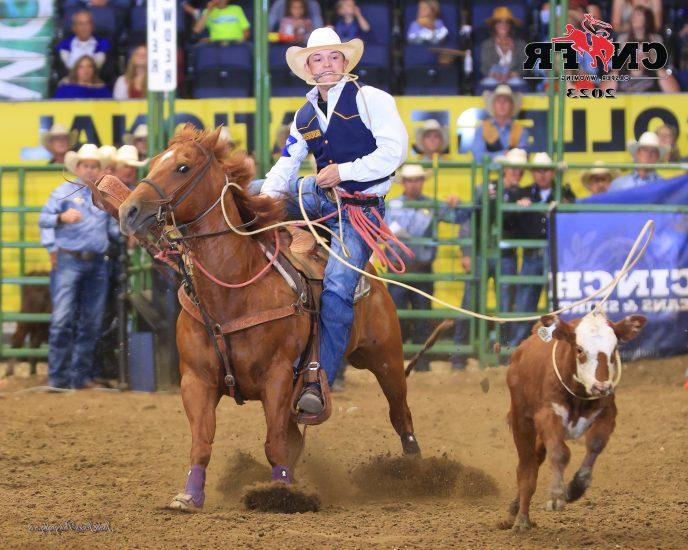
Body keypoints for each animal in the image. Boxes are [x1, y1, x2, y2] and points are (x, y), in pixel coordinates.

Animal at [117, 127, 420, 512]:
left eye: (182, 167)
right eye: (155, 161)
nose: (128, 211)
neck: (233, 290)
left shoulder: (277, 376)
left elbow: (274, 442)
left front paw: (281, 493)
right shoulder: (196, 380)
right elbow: (203, 441)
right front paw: (189, 495)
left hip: (385, 357)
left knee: (401, 413)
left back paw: (417, 472)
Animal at [506, 312, 644, 532]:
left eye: (614, 350)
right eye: (579, 349)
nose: (601, 387)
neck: (579, 395)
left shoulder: (607, 413)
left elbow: (595, 444)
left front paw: (575, 488)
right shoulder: (547, 416)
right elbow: (560, 453)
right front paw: (556, 494)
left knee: (537, 458)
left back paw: (516, 506)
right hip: (522, 421)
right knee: (527, 467)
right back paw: (521, 520)